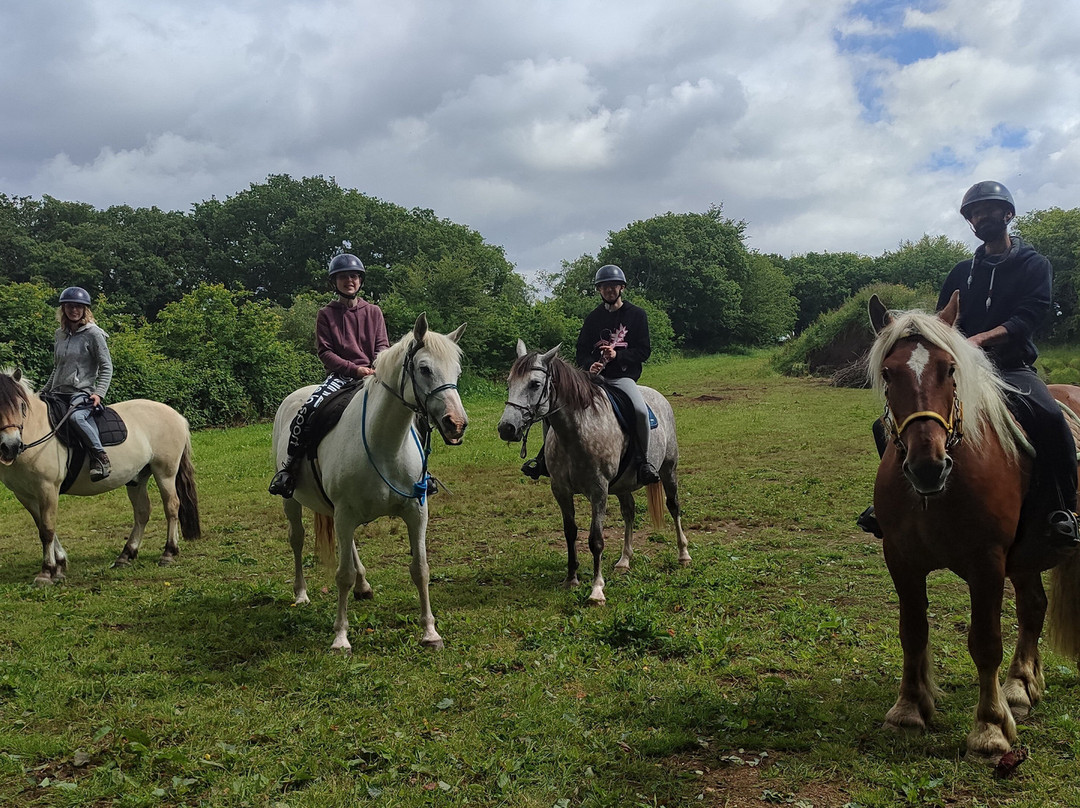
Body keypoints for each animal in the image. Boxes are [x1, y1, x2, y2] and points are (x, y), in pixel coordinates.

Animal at [0, 369, 203, 583]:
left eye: (21, 405)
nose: (10, 446)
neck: (35, 431)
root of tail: (177, 416)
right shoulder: (25, 495)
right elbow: (43, 527)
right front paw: (60, 564)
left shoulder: (48, 488)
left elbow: (47, 529)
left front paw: (47, 572)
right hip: (137, 478)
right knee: (142, 512)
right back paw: (126, 555)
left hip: (165, 472)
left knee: (172, 506)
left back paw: (169, 552)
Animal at [272, 313, 466, 652]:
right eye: (424, 369)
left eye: (456, 370)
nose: (456, 424)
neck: (384, 444)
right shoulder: (345, 513)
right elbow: (342, 575)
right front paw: (340, 638)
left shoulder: (416, 512)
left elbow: (421, 570)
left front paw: (430, 632)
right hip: (292, 501)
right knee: (297, 540)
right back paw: (301, 594)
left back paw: (363, 585)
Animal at [498, 337, 691, 604]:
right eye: (509, 383)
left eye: (534, 384)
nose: (506, 428)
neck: (577, 432)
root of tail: (658, 397)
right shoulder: (561, 490)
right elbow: (570, 532)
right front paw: (571, 578)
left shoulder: (598, 490)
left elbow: (596, 539)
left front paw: (597, 589)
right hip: (622, 485)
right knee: (629, 512)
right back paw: (624, 560)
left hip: (668, 470)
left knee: (674, 506)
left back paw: (683, 554)